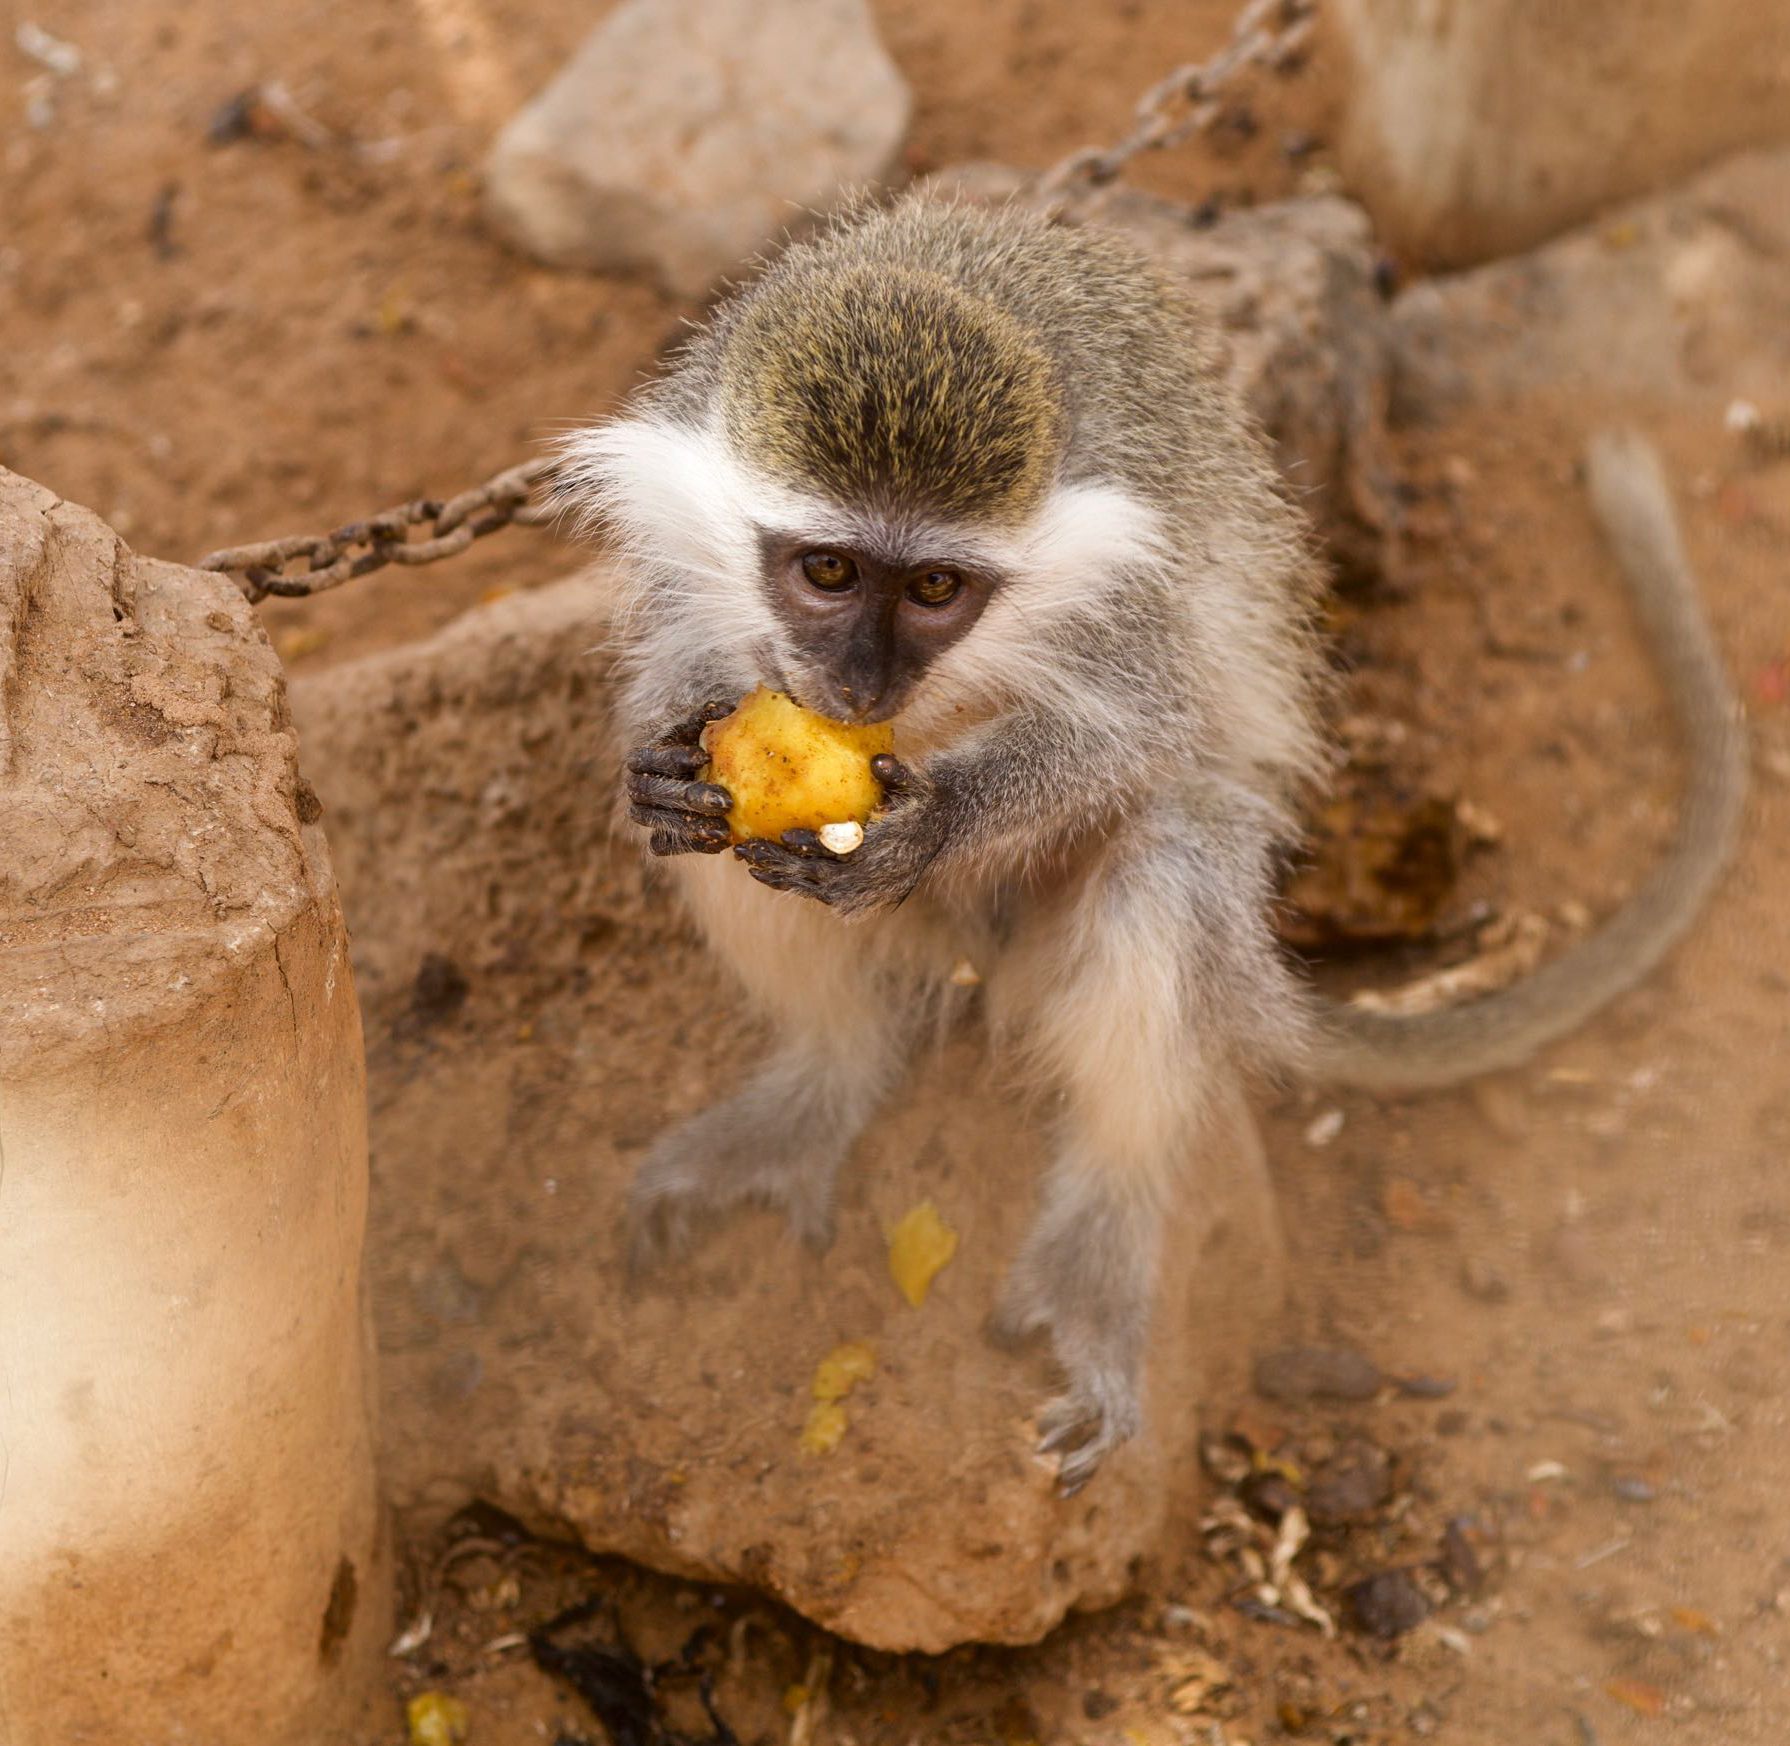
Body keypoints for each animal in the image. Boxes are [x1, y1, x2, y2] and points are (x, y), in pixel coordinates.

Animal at [562, 194, 1747, 1504]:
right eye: (826, 569)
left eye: (934, 588)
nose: (858, 685)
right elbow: (672, 703)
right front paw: (665, 772)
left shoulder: (1126, 587)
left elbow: (1143, 728)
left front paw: (934, 820)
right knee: (755, 891)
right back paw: (825, 1079)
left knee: (1165, 864)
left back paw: (1099, 1246)